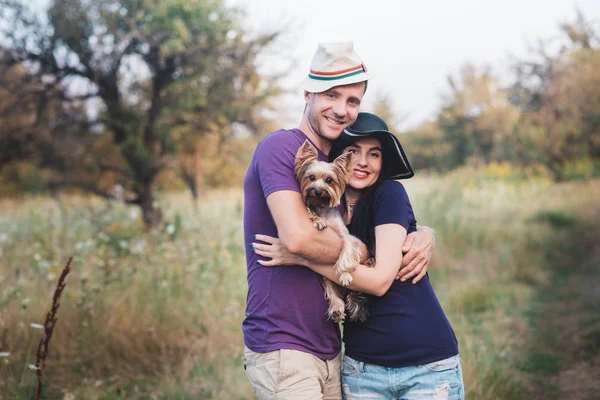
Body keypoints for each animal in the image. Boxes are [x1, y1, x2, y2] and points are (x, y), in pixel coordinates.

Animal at [292, 140, 368, 322]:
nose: (318, 191)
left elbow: (347, 250)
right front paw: (318, 220)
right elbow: (311, 213)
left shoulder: (346, 236)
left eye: (329, 180)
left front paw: (345, 274)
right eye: (311, 177)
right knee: (334, 294)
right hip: (328, 281)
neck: (321, 204)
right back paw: (336, 309)